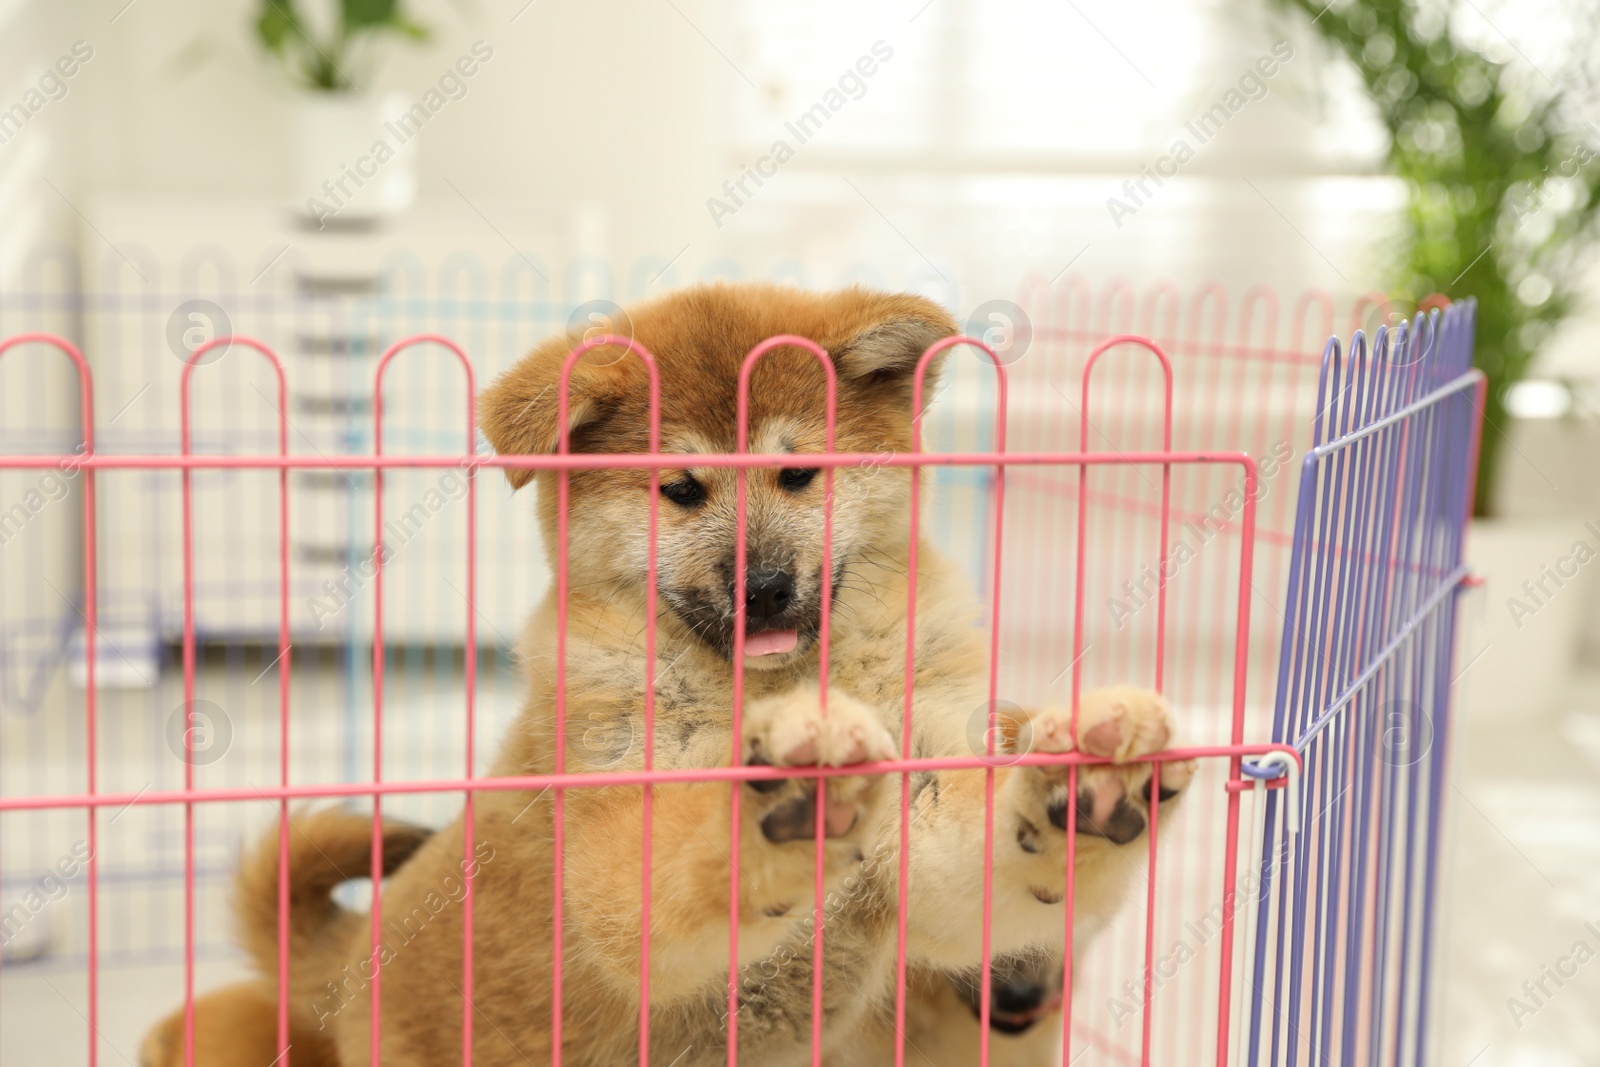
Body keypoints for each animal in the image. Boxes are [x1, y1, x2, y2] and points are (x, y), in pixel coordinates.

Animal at [147, 283, 1190, 1067]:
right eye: (681, 490)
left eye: (799, 473)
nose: (765, 587)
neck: (769, 682)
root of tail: (348, 965)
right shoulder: (624, 831)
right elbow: (691, 849)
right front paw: (782, 788)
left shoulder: (926, 825)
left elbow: (996, 844)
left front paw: (1088, 776)